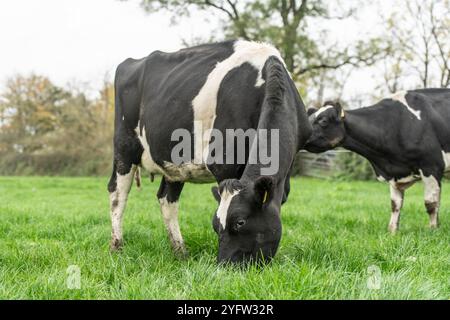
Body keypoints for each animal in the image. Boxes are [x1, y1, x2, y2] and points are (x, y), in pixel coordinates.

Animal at [107, 40, 312, 264]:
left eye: (240, 222)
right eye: (216, 225)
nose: (224, 265)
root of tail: (131, 62)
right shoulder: (225, 163)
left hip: (174, 162)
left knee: (167, 199)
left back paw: (180, 251)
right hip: (124, 148)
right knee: (117, 194)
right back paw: (117, 247)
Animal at [304, 89, 448, 232]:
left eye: (323, 121)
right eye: (309, 119)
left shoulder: (431, 166)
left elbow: (431, 203)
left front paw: (433, 230)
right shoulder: (395, 175)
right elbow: (395, 204)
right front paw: (392, 231)